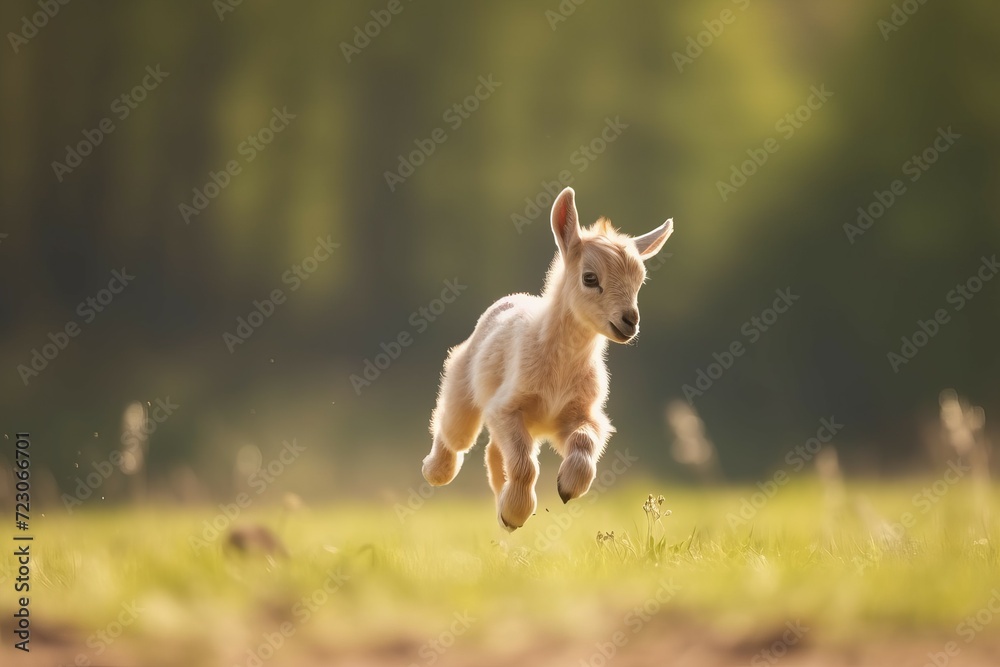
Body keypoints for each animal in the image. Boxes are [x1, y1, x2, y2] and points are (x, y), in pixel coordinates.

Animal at [421, 187, 673, 530]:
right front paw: (517, 513)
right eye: (590, 278)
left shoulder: (583, 414)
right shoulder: (506, 408)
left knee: (493, 453)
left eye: (640, 282)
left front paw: (566, 489)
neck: (562, 365)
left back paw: (502, 514)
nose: (629, 321)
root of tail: (511, 299)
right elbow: (525, 464)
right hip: (462, 384)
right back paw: (435, 472)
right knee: (456, 435)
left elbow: (583, 445)